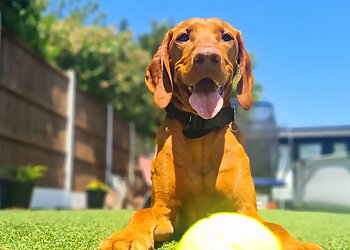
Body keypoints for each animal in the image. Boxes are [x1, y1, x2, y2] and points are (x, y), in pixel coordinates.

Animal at [99, 17, 322, 250]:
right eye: (183, 37)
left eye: (226, 37)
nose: (207, 57)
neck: (201, 132)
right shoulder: (165, 209)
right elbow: (143, 213)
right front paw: (126, 236)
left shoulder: (245, 209)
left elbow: (276, 227)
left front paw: (298, 244)